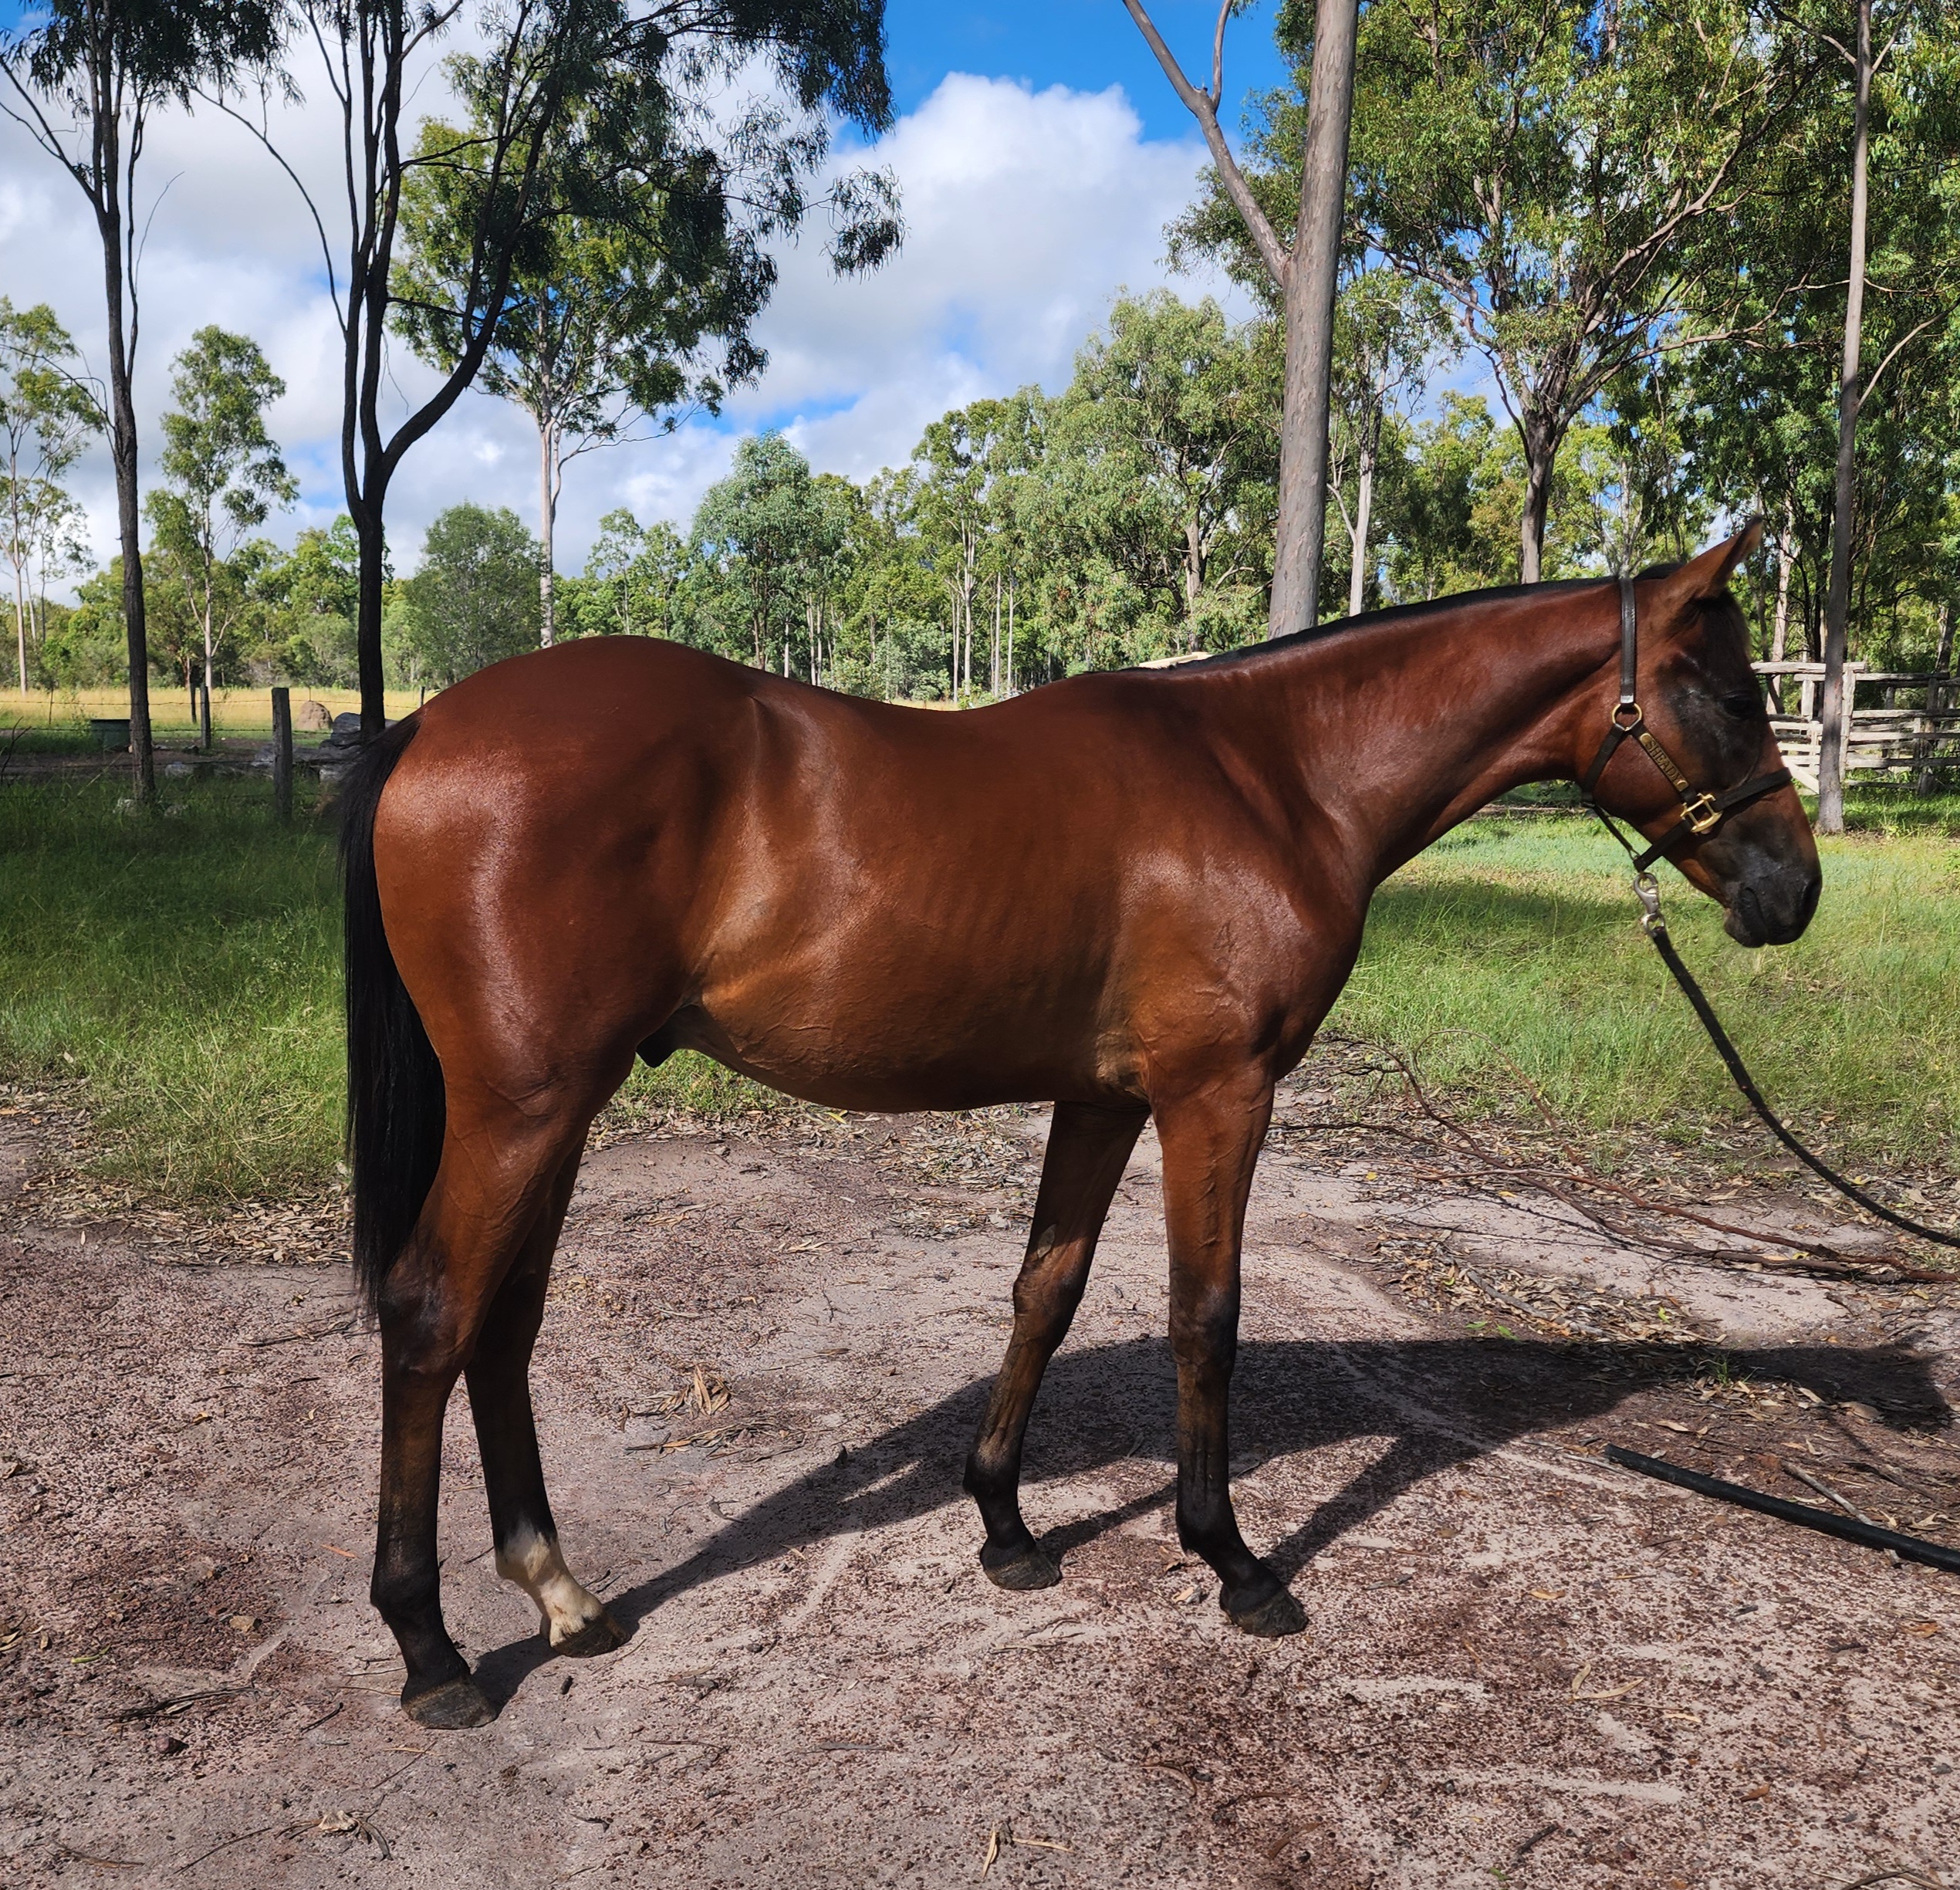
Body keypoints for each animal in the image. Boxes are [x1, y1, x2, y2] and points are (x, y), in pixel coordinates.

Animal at [340, 524, 1819, 1729]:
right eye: (1730, 692)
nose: (1795, 889)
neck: (1272, 772)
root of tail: (430, 726)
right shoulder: (1218, 1091)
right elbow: (1204, 1314)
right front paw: (1233, 1560)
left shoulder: (1103, 1096)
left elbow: (1045, 1290)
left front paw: (1004, 1522)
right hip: (524, 1108)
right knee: (432, 1313)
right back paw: (430, 1650)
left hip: (557, 1111)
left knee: (505, 1327)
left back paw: (559, 1591)